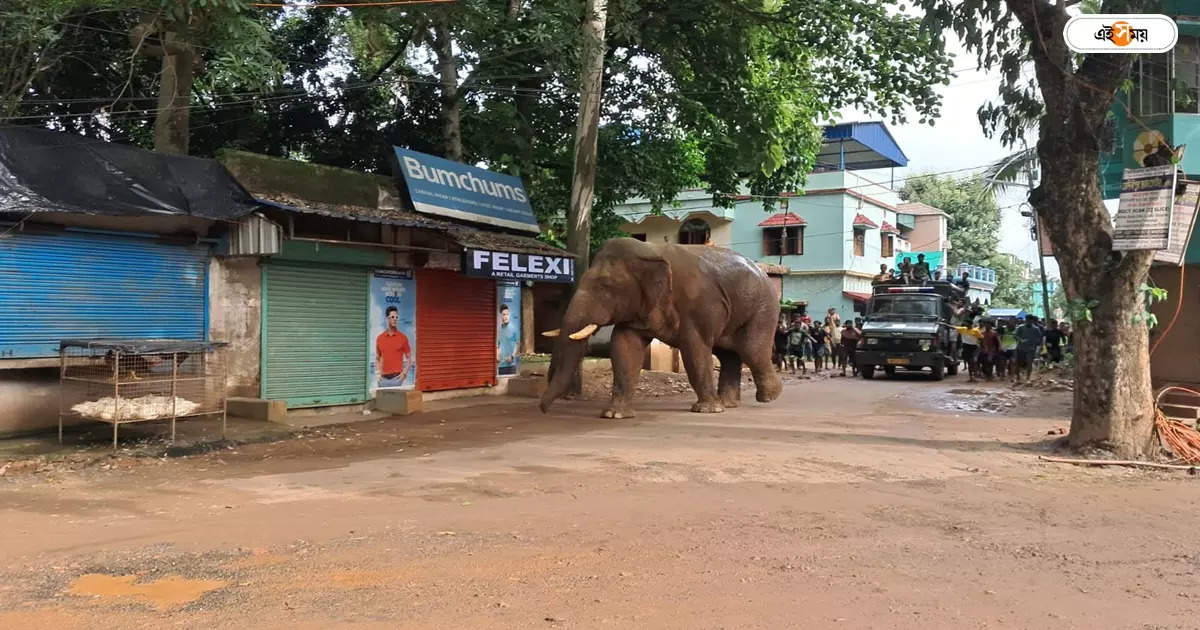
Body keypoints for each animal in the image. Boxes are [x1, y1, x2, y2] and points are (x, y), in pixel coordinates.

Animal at [540, 235, 782, 417]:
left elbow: (694, 350)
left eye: (605, 287)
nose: (543, 410)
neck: (649, 250)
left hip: (764, 308)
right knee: (728, 354)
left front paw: (706, 410)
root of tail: (764, 272)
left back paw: (769, 397)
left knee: (751, 350)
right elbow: (624, 348)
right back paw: (728, 403)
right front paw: (614, 414)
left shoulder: (698, 306)